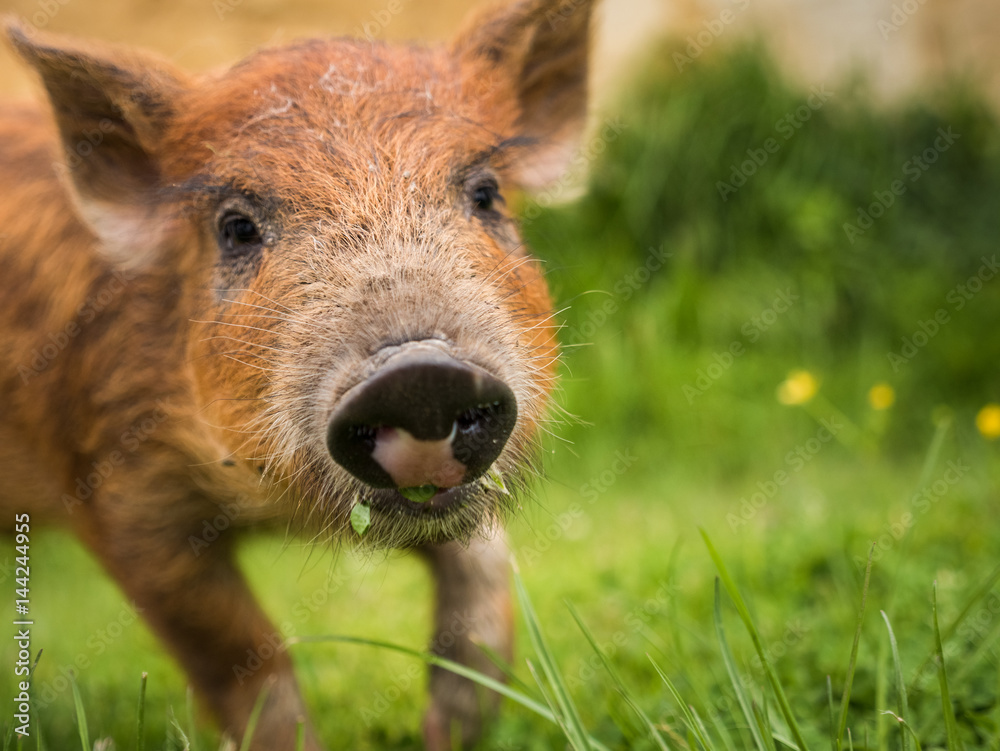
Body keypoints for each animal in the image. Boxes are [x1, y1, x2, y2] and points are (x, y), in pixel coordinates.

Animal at [0, 0, 594, 748]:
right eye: (237, 227)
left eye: (486, 195)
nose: (420, 374)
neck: (274, 509)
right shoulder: (114, 495)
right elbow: (242, 658)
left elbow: (482, 564)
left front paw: (449, 727)